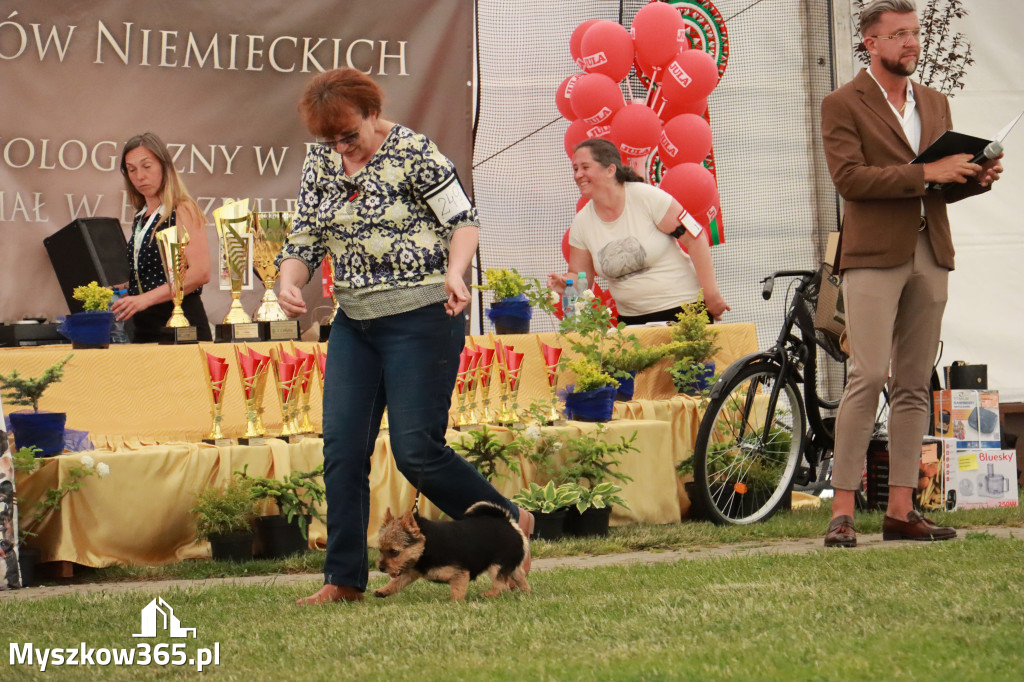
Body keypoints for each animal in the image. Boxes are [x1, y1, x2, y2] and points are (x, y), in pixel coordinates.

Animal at [376, 499, 536, 602]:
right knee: (521, 579)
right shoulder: (410, 572)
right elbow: (396, 582)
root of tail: (508, 522)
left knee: (502, 585)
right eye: (380, 550)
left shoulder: (460, 573)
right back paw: (526, 594)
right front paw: (383, 590)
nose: (381, 568)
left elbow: (456, 592)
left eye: (394, 552)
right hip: (511, 565)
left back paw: (488, 594)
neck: (426, 544)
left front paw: (454, 604)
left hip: (496, 566)